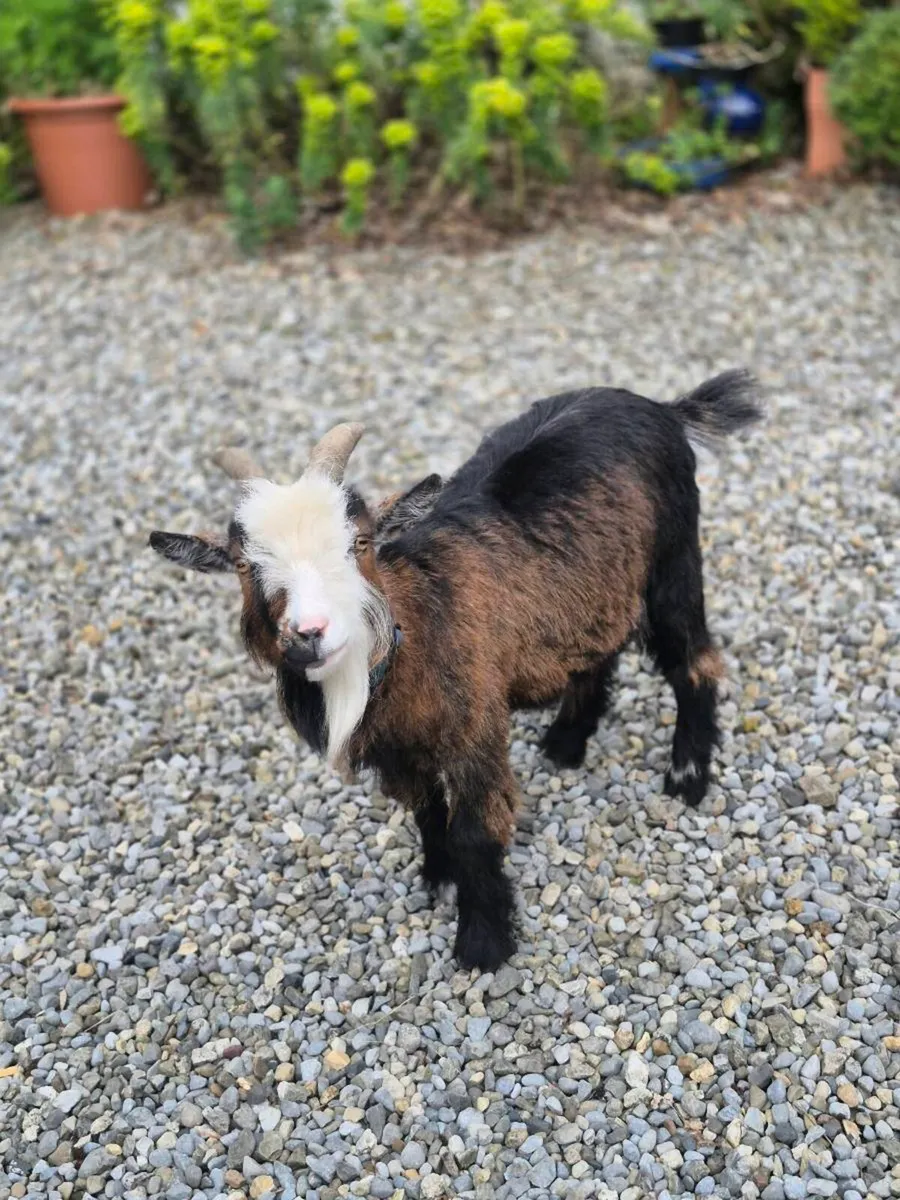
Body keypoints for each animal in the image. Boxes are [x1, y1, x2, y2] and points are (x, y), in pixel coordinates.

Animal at [149, 369, 761, 970]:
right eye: (244, 566)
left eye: (360, 542)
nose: (308, 632)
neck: (414, 626)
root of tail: (664, 407)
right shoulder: (401, 751)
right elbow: (426, 811)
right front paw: (439, 879)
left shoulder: (475, 729)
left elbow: (474, 831)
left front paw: (483, 943)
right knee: (599, 648)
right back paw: (566, 742)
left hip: (674, 562)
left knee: (694, 663)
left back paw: (686, 778)